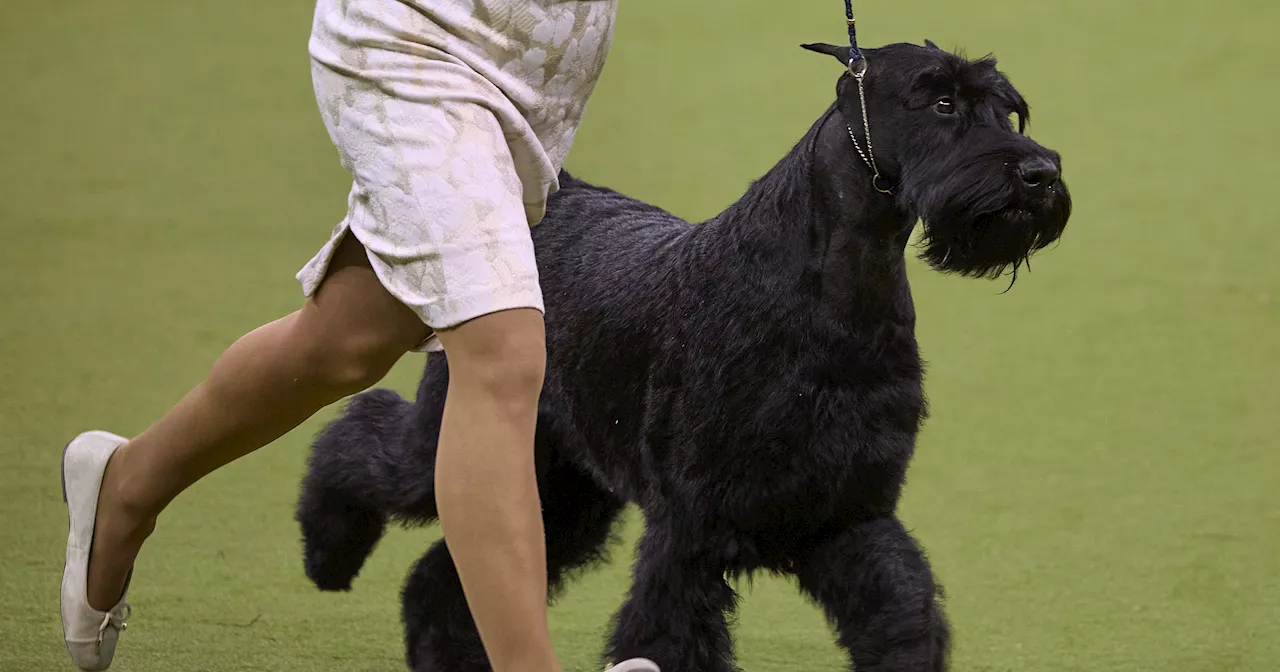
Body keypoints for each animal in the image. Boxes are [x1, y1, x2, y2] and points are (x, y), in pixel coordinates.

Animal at [294, 41, 1064, 670]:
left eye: (1008, 109)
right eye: (942, 102)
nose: (1039, 176)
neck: (834, 283)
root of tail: (541, 201)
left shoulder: (848, 512)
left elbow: (902, 614)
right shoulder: (691, 529)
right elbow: (668, 637)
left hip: (563, 493)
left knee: (441, 580)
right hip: (451, 440)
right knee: (363, 434)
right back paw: (327, 552)